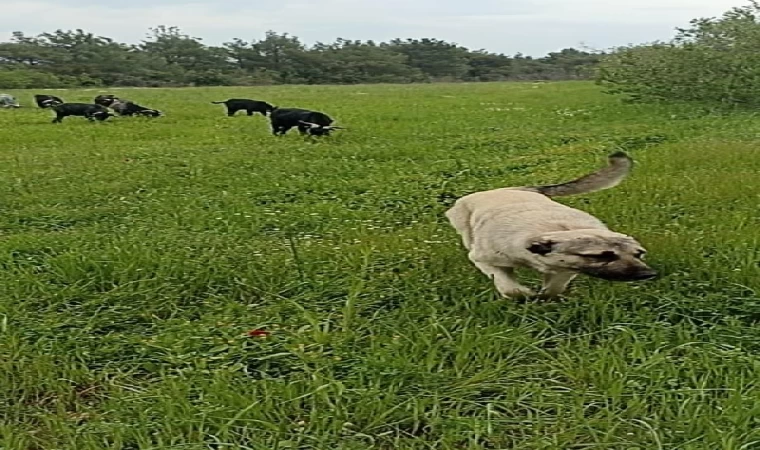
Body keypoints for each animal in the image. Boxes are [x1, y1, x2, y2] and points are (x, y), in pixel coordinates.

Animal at [448, 152, 656, 298]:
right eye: (601, 256)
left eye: (639, 254)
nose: (648, 274)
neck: (559, 228)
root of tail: (516, 188)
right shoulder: (483, 259)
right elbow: (508, 286)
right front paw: (524, 295)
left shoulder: (565, 268)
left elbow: (554, 287)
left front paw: (546, 297)